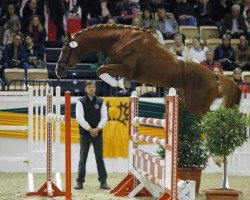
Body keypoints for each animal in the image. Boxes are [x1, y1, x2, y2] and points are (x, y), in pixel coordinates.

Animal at [55, 23, 242, 118]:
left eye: (65, 49)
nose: (58, 70)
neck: (120, 38)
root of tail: (215, 76)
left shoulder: (127, 68)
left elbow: (101, 69)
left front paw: (121, 84)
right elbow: (103, 69)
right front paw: (123, 83)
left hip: (197, 106)